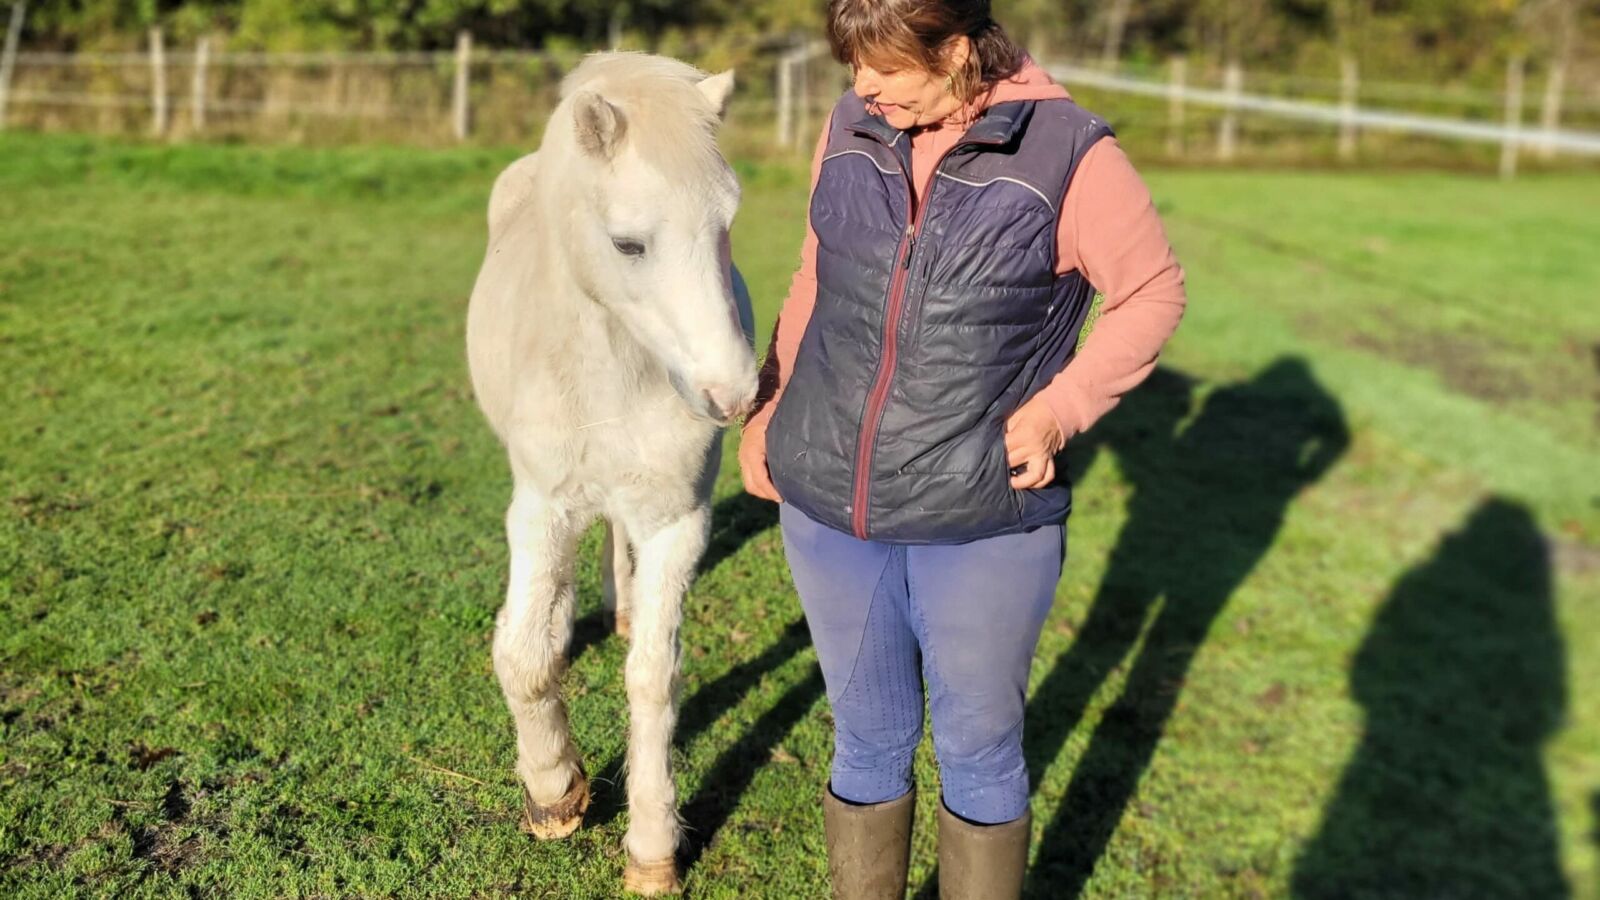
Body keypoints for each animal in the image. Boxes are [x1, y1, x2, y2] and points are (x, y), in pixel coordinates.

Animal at [465, 52, 759, 895]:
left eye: (727, 223)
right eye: (629, 244)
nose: (735, 395)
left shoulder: (677, 521)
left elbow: (652, 679)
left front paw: (653, 848)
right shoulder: (539, 509)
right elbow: (523, 657)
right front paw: (554, 792)